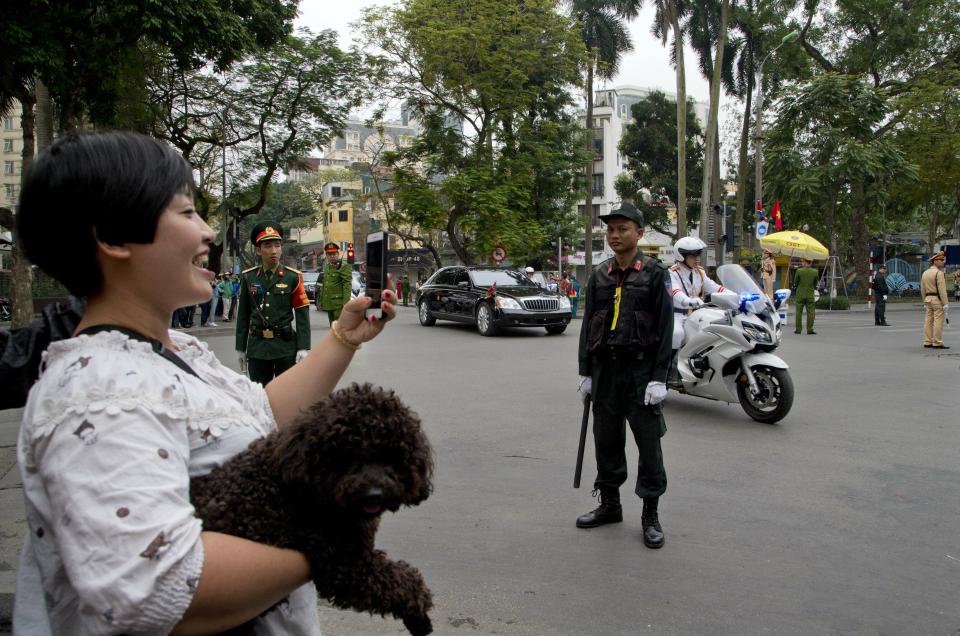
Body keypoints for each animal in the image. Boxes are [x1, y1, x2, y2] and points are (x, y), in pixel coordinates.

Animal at [191, 380, 436, 632]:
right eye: (345, 456)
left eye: (391, 454)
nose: (373, 495)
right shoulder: (346, 564)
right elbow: (402, 581)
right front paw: (418, 613)